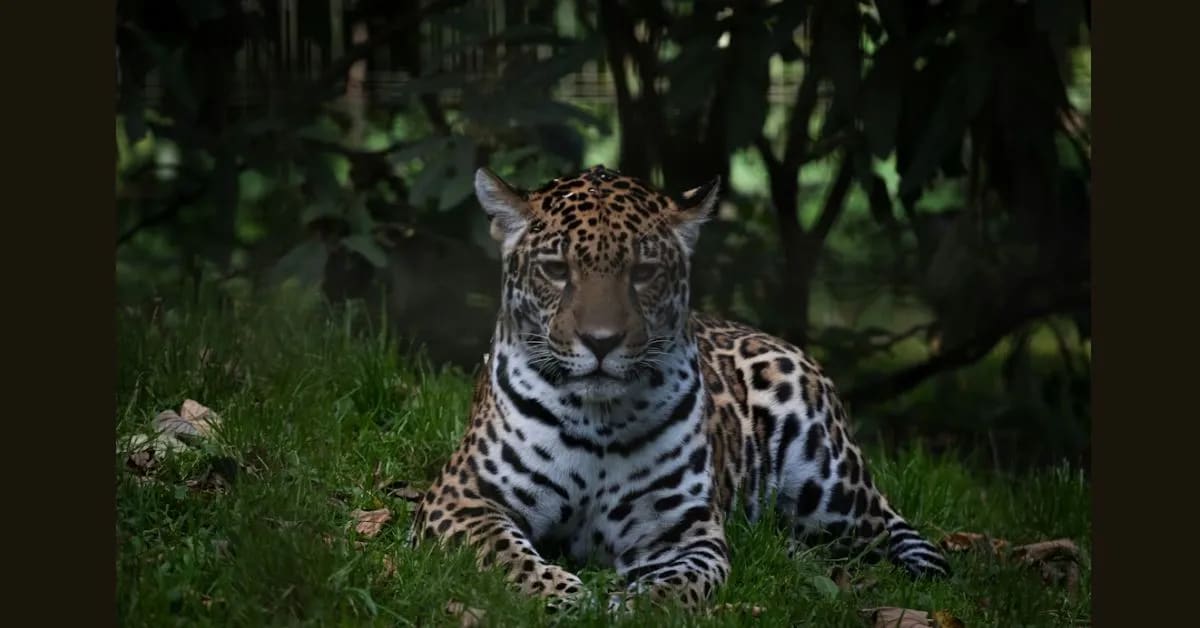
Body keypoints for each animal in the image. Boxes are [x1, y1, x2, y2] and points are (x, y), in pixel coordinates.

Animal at [408, 165, 951, 612]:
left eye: (643, 272)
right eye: (556, 270)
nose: (600, 341)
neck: (598, 420)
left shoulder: (685, 535)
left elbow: (678, 585)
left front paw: (627, 609)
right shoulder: (463, 500)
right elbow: (507, 557)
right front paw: (566, 599)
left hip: (832, 485)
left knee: (891, 531)